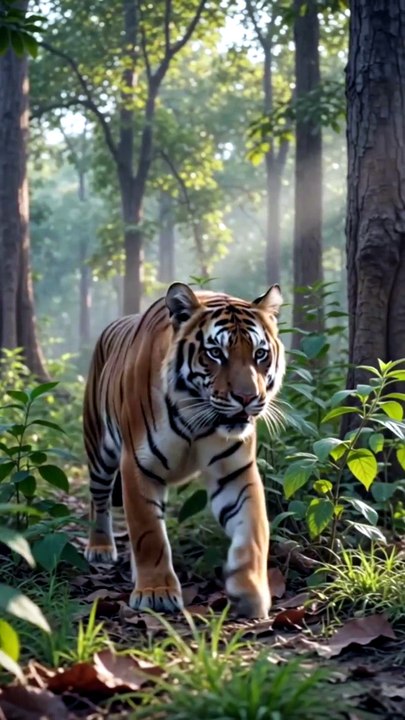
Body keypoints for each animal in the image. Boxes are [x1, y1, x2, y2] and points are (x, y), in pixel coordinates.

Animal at [83, 282, 285, 618]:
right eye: (215, 353)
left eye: (260, 354)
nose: (247, 398)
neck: (197, 418)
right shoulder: (138, 465)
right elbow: (148, 533)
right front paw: (155, 593)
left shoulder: (235, 472)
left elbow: (255, 531)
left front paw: (250, 591)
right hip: (99, 447)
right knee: (98, 500)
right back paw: (100, 548)